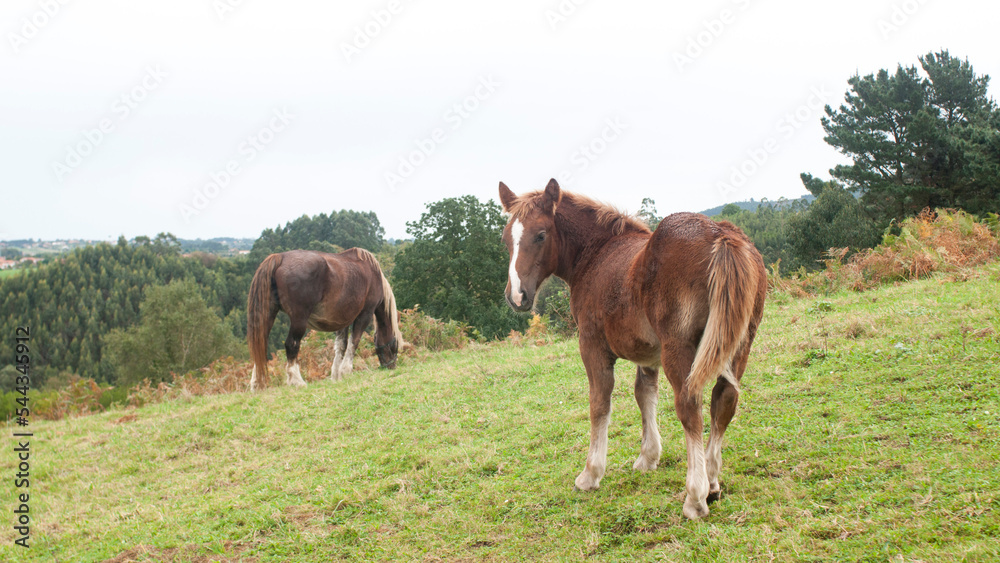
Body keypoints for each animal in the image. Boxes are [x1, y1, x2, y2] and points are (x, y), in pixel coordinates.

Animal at [246, 247, 402, 391]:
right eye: (395, 346)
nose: (392, 366)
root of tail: (280, 257)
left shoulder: (343, 320)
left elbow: (341, 345)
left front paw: (336, 375)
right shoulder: (365, 314)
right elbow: (354, 342)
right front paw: (346, 371)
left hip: (268, 314)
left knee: (261, 344)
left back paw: (257, 383)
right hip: (299, 319)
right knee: (292, 344)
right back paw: (297, 381)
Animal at [499, 179, 766, 519]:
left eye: (541, 234)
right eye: (506, 238)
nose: (516, 296)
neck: (597, 254)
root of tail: (722, 233)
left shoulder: (592, 345)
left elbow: (599, 403)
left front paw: (590, 474)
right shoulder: (648, 352)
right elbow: (644, 394)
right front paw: (648, 457)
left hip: (679, 347)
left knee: (689, 405)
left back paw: (695, 496)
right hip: (739, 343)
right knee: (725, 400)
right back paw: (713, 482)